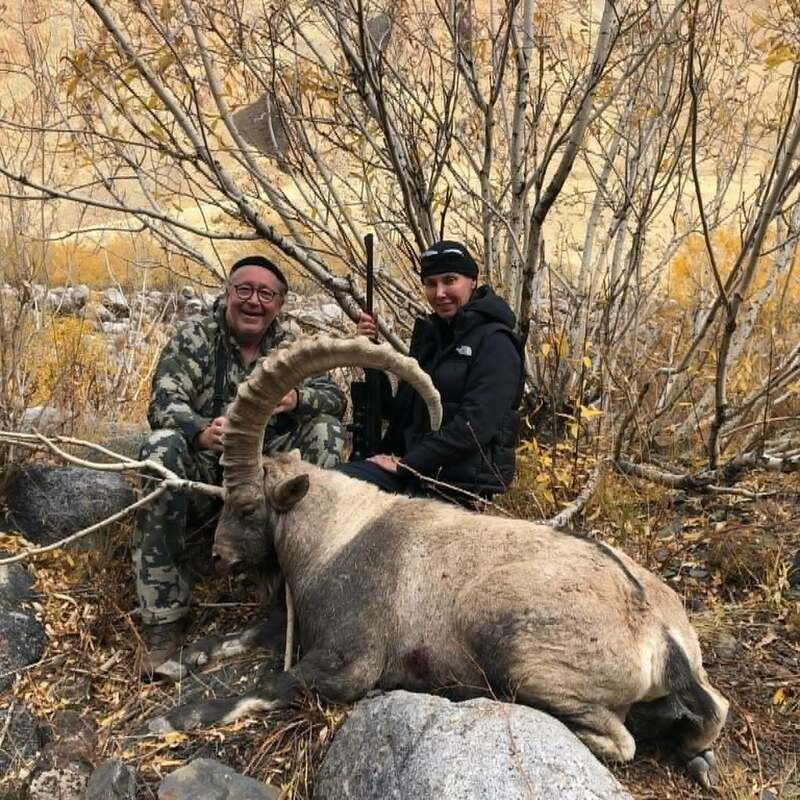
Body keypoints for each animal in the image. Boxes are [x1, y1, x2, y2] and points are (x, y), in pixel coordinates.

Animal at [149, 336, 728, 787]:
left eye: (247, 506)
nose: (220, 555)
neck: (337, 536)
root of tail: (659, 634)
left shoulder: (351, 662)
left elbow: (272, 685)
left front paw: (172, 718)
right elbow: (246, 634)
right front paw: (180, 659)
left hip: (518, 654)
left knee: (619, 738)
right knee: (710, 711)